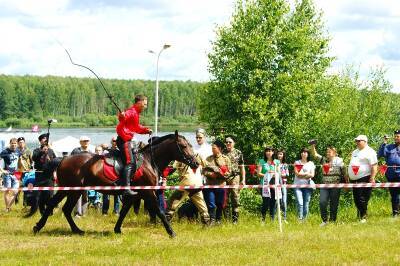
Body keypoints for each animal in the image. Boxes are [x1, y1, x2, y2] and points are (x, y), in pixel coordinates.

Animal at [31, 131, 198, 237]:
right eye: (184, 146)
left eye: (190, 145)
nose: (195, 163)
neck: (149, 160)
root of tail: (63, 159)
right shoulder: (148, 192)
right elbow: (160, 211)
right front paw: (171, 232)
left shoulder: (133, 195)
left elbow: (123, 211)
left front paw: (117, 229)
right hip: (72, 189)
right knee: (57, 206)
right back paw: (41, 227)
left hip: (72, 190)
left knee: (62, 208)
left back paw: (73, 230)